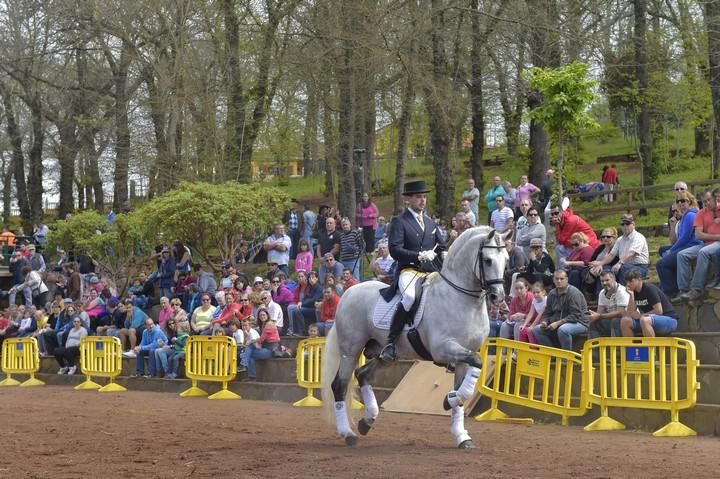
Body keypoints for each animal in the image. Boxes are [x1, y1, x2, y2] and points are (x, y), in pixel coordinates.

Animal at [324, 227, 510, 448]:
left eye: (506, 260)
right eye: (488, 260)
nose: (498, 297)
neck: (462, 300)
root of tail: (348, 293)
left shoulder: (464, 355)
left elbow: (465, 390)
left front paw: (461, 434)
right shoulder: (443, 349)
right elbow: (475, 366)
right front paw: (448, 402)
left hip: (384, 354)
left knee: (363, 374)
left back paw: (367, 421)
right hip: (350, 351)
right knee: (340, 385)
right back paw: (348, 433)